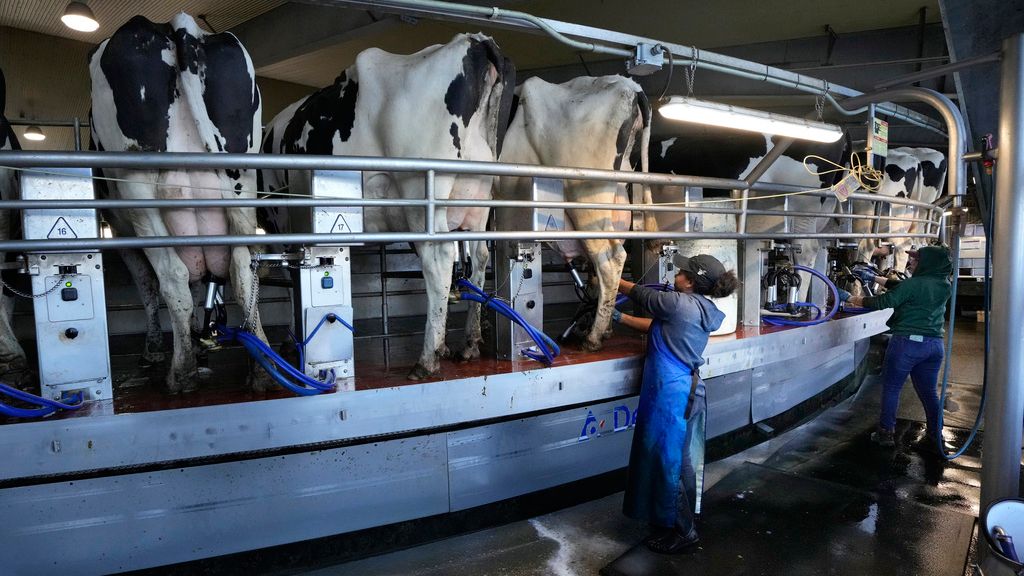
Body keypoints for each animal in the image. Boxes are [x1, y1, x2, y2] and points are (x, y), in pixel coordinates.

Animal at [88, 14, 270, 389]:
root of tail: (179, 24)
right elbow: (201, 282)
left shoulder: (119, 229)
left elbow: (148, 283)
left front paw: (154, 349)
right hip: (243, 174)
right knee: (243, 267)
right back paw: (259, 367)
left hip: (137, 185)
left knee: (172, 276)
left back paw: (181, 372)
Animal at [260, 33, 516, 379]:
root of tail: (474, 40)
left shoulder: (279, 219)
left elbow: (290, 280)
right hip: (478, 195)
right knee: (479, 256)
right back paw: (469, 342)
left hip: (422, 191)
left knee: (439, 260)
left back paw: (427, 358)